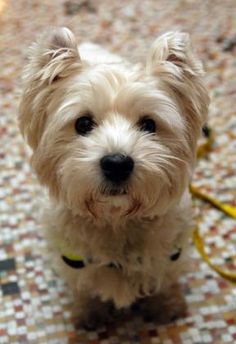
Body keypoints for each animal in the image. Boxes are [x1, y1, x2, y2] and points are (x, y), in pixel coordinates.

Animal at [19, 27, 209, 328]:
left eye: (149, 124)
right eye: (83, 123)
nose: (117, 164)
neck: (116, 219)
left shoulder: (170, 251)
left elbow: (165, 279)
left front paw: (166, 306)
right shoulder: (72, 257)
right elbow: (83, 286)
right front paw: (89, 313)